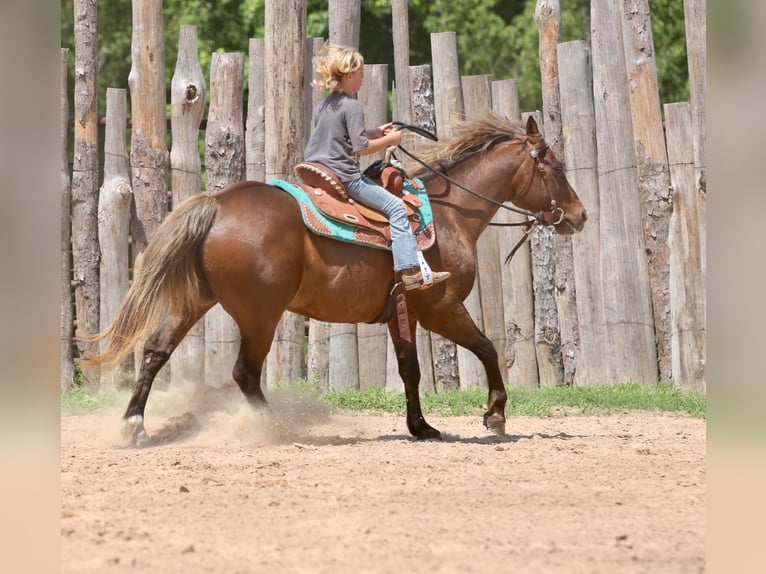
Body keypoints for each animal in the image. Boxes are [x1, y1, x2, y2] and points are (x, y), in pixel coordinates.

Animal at [85, 113, 587, 446]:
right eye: (556, 168)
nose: (580, 216)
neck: (447, 217)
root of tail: (218, 204)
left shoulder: (402, 313)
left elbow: (409, 368)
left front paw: (421, 427)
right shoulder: (441, 308)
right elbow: (486, 348)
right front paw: (495, 414)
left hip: (194, 301)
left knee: (155, 352)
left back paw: (134, 426)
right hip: (260, 315)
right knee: (244, 373)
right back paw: (278, 429)